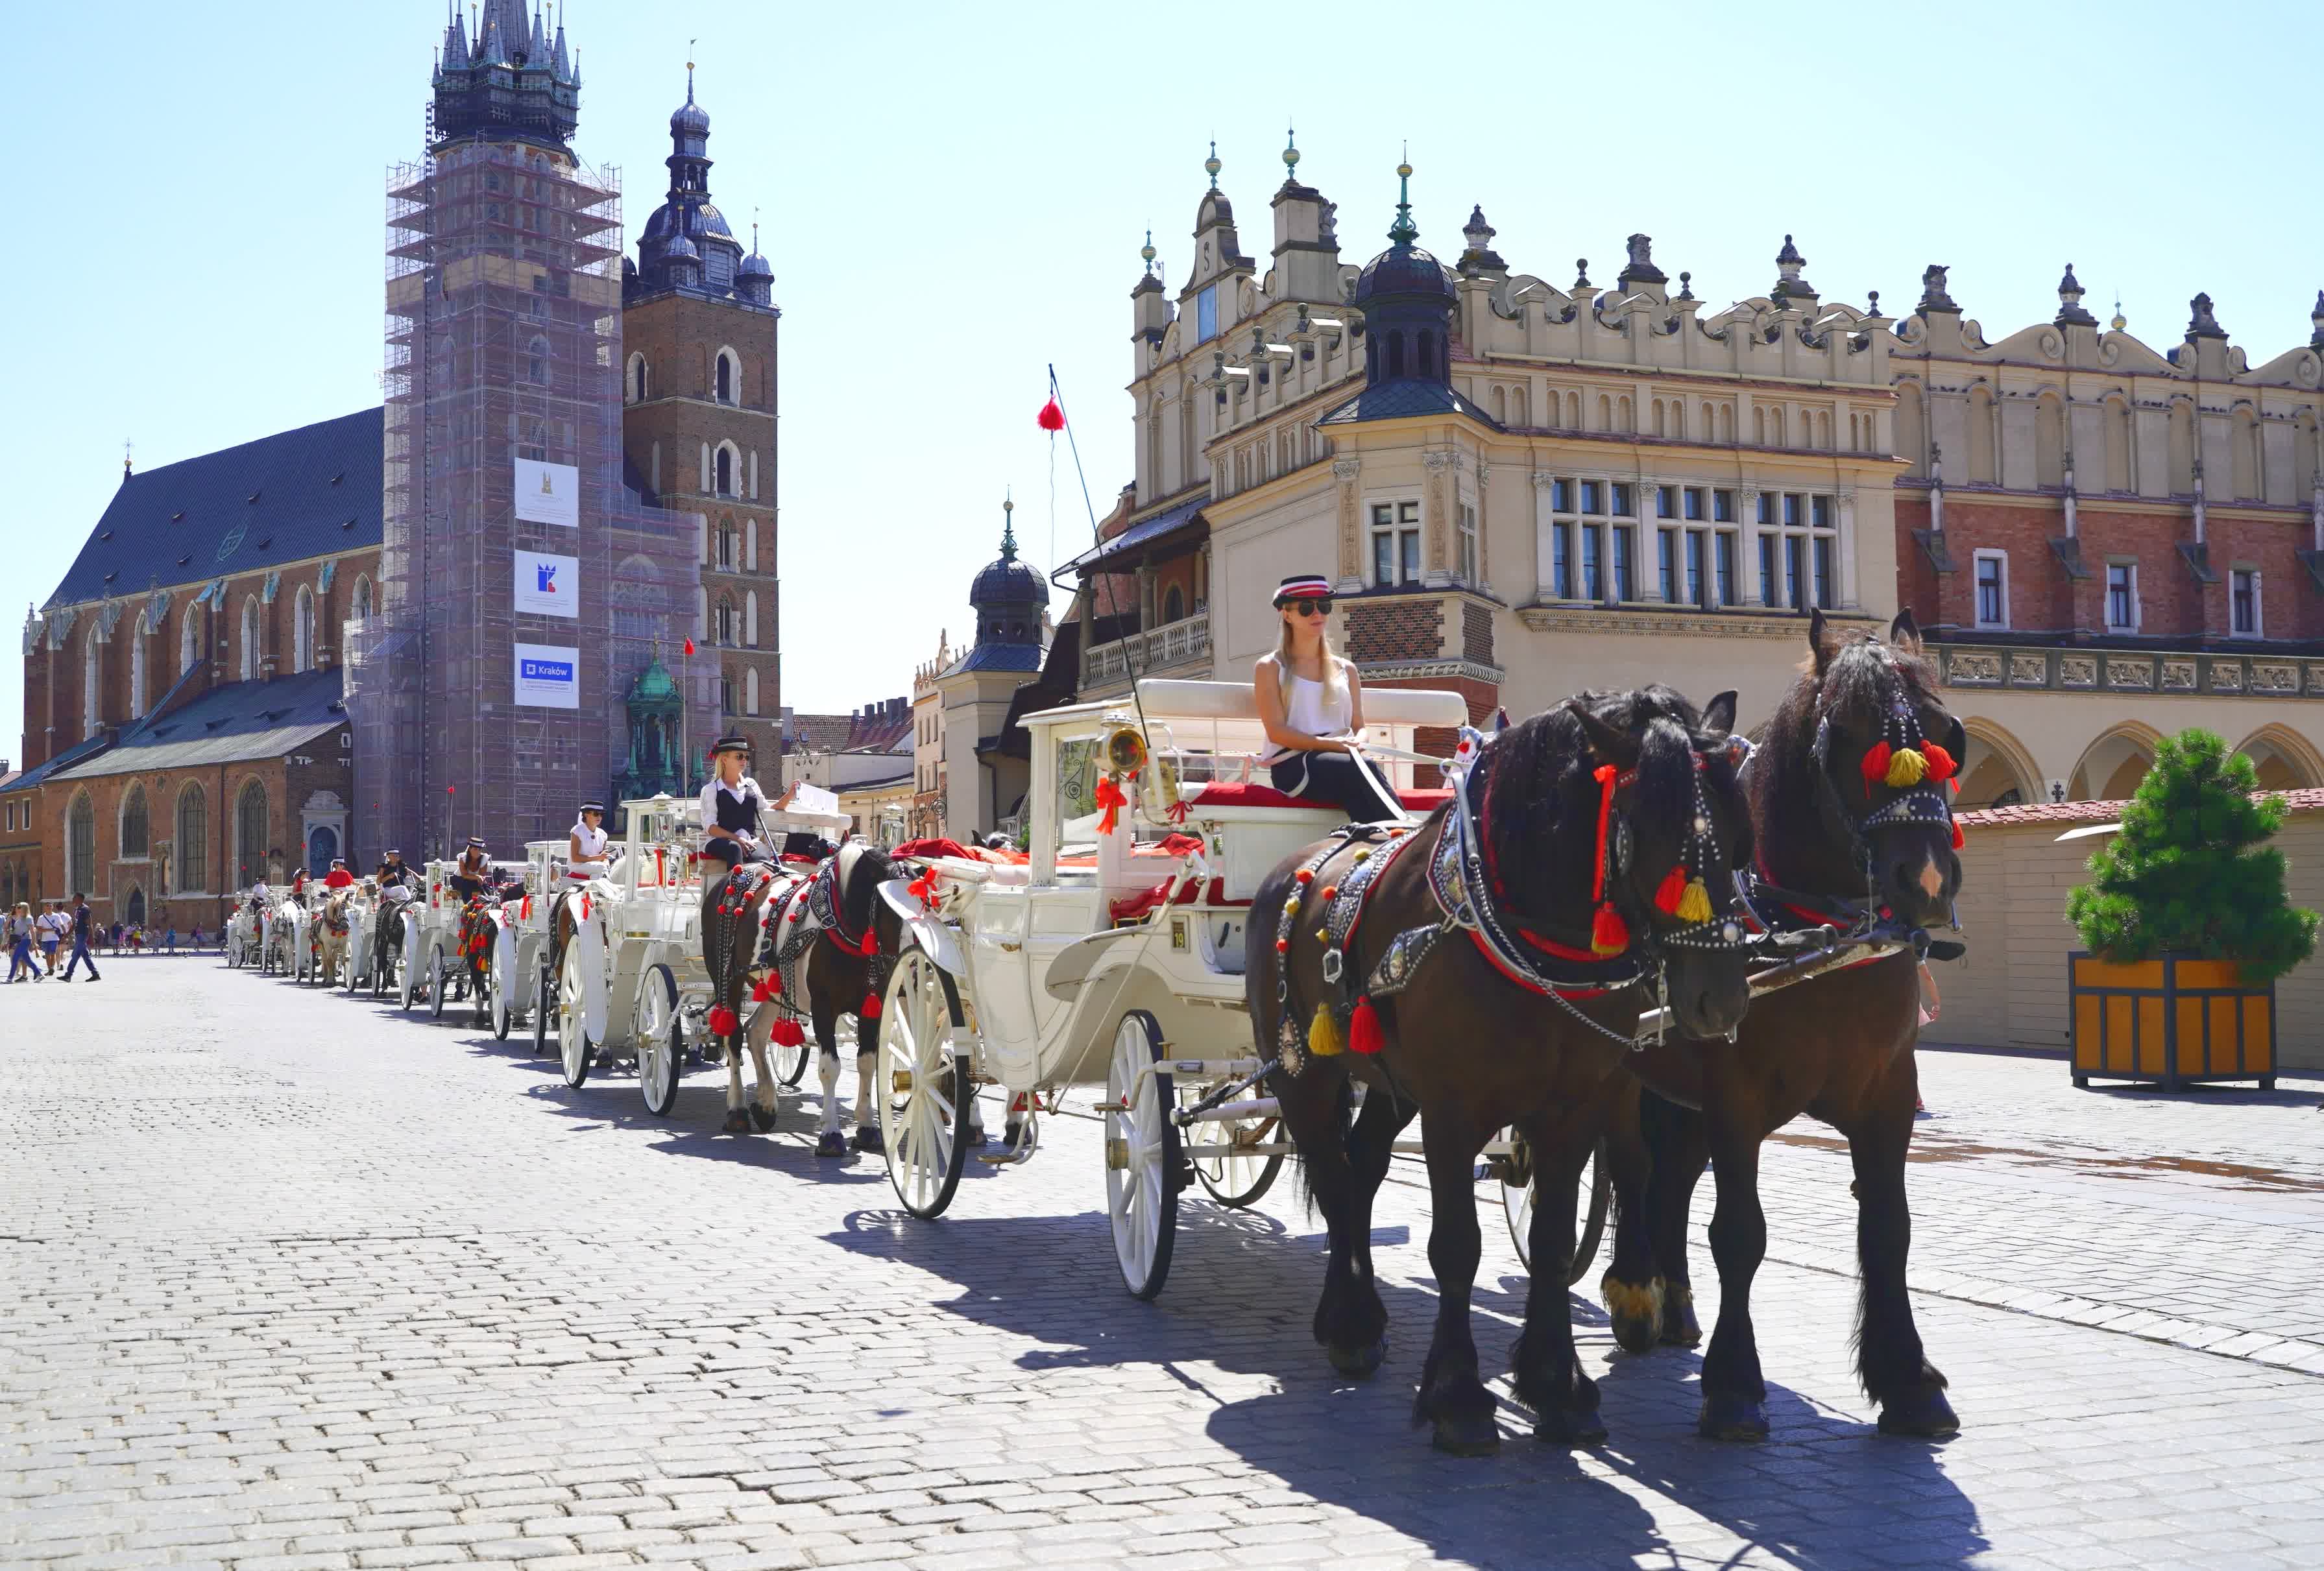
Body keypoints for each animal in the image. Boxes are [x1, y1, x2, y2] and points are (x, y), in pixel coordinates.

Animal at [1264, 692, 1747, 1450]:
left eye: (1736, 830)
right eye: (1651, 831)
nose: (1721, 998)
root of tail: (1295, 867)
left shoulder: (1573, 1107)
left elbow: (1551, 1241)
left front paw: (1559, 1387)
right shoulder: (1453, 1109)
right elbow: (1457, 1246)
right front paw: (1458, 1396)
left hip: (1393, 1086)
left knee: (1363, 1168)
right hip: (1302, 1074)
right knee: (1337, 1185)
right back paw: (1350, 1324)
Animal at [1627, 608, 1970, 1441]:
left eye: (1948, 732)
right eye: (1846, 733)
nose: (1928, 879)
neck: (1814, 933)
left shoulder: (1888, 1092)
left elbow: (1888, 1228)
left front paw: (1907, 1377)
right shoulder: (1736, 1096)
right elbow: (1739, 1233)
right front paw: (1732, 1384)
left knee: (1668, 1184)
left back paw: (1671, 1305)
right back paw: (1636, 1295)